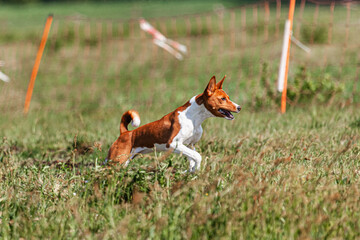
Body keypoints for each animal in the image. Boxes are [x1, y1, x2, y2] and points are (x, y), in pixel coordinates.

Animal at [107, 76, 242, 172]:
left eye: (228, 97)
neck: (194, 118)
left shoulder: (189, 144)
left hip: (125, 160)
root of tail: (125, 133)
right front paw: (195, 170)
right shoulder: (173, 143)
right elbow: (197, 156)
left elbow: (192, 158)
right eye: (223, 99)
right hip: (117, 160)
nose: (239, 107)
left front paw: (191, 172)